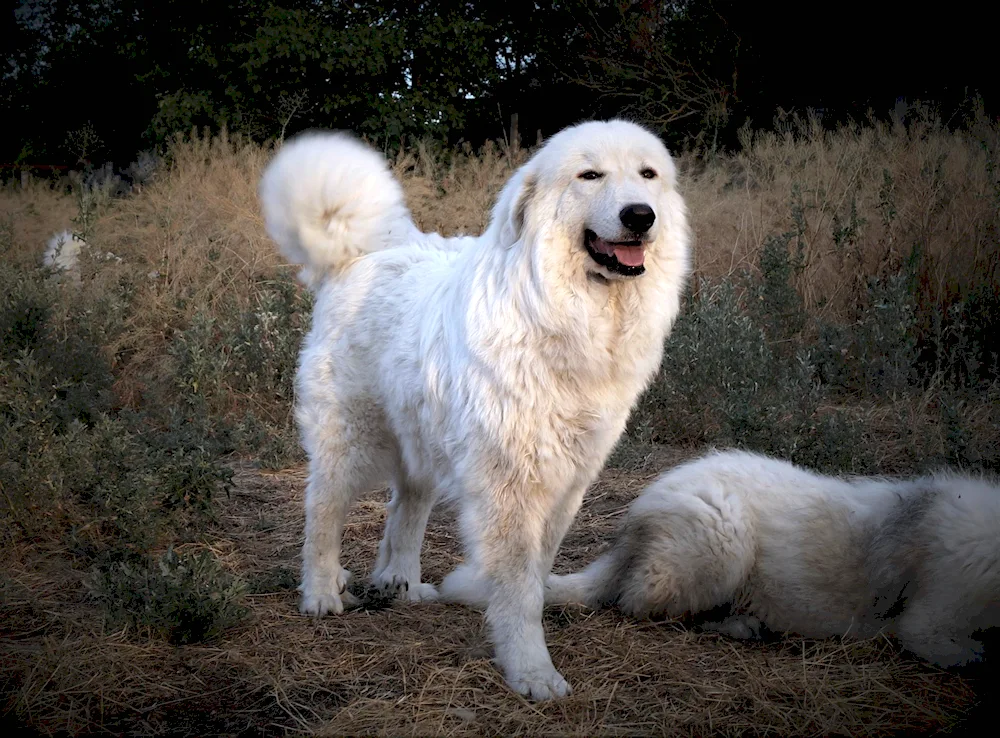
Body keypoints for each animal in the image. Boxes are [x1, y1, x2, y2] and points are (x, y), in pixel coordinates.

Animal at [262, 119, 692, 696]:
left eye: (648, 175)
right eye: (590, 175)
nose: (640, 215)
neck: (561, 312)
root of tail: (360, 252)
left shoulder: (568, 483)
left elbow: (537, 573)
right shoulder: (509, 485)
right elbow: (518, 586)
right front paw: (531, 670)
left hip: (421, 439)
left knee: (405, 510)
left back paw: (401, 584)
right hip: (347, 441)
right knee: (322, 514)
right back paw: (321, 592)